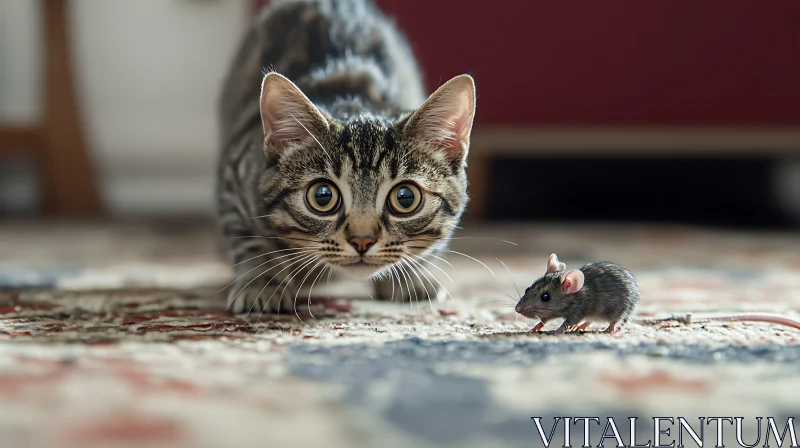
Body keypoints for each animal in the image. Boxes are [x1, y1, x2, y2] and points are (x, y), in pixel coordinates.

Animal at [217, 0, 476, 316]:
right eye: (323, 196)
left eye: (405, 198)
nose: (362, 240)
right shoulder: (234, 178)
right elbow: (249, 240)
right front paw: (262, 282)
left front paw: (410, 276)